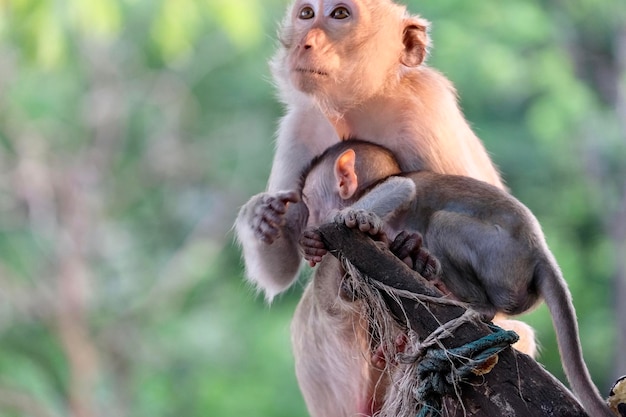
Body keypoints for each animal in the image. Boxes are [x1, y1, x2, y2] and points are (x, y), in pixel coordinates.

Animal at [234, 0, 502, 300]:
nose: (305, 43)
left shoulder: (426, 110)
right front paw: (259, 214)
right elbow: (279, 273)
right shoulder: (300, 125)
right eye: (306, 14)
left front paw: (412, 249)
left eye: (340, 14)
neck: (358, 108)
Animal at [296, 139, 608, 416]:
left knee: (442, 224)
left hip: (502, 258)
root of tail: (539, 251)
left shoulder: (386, 187)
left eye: (309, 201)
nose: (308, 219)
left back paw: (475, 305)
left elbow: (403, 188)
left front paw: (352, 217)